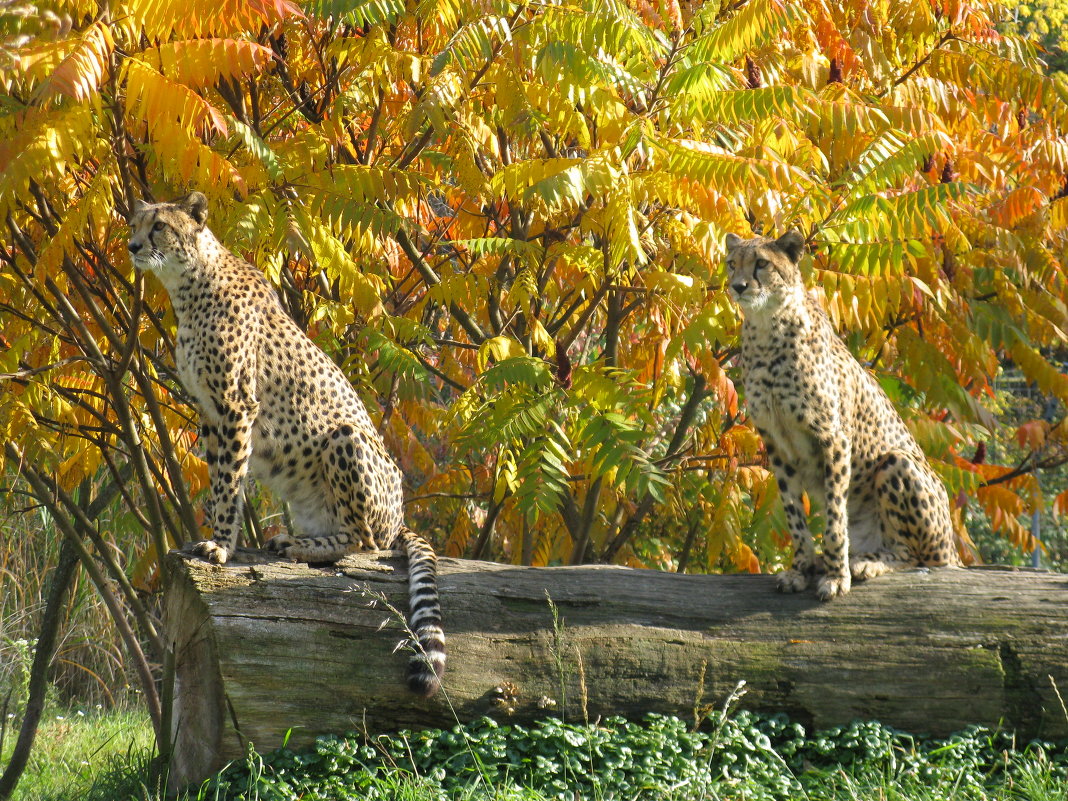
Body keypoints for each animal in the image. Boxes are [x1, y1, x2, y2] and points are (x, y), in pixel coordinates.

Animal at [129, 193, 446, 696]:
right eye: (133, 222)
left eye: (159, 225)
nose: (133, 246)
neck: (189, 282)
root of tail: (400, 517)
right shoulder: (210, 412)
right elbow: (222, 481)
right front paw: (215, 537)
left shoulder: (236, 406)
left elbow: (229, 484)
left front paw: (222, 547)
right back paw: (296, 538)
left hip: (346, 438)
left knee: (367, 542)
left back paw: (303, 547)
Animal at [726, 228, 961, 598]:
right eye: (732, 264)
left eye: (761, 263)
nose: (738, 286)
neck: (766, 328)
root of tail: (951, 548)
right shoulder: (777, 443)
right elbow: (794, 514)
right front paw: (800, 568)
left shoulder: (833, 438)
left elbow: (836, 517)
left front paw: (837, 576)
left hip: (899, 462)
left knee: (914, 556)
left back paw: (866, 562)